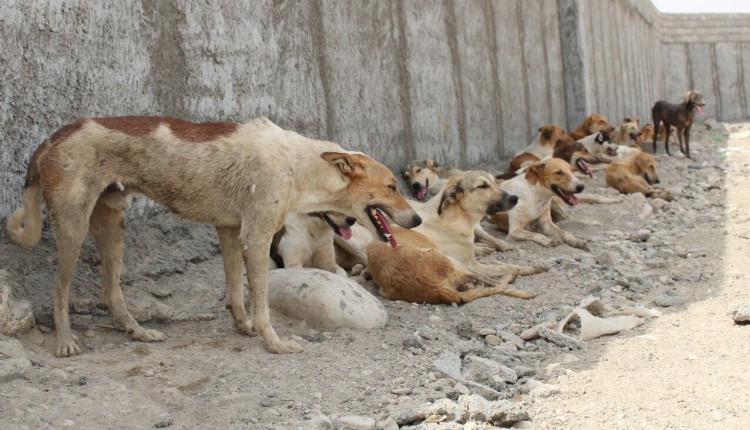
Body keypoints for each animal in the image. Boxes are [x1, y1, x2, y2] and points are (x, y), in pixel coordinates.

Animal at [366, 170, 536, 304]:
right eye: (482, 186)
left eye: (495, 182)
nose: (515, 198)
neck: (454, 216)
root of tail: (436, 289)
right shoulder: (473, 265)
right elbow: (508, 266)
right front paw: (529, 268)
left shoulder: (472, 261)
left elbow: (494, 262)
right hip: (455, 263)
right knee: (495, 283)